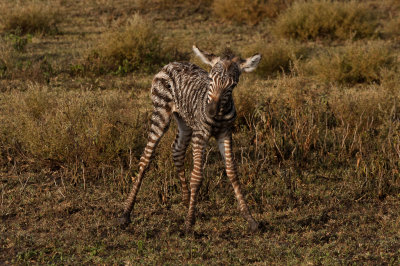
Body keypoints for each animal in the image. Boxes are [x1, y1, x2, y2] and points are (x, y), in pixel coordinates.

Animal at [119, 45, 262, 233]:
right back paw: (125, 214)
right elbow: (197, 176)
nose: (210, 111)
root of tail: (172, 63)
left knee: (177, 150)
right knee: (145, 158)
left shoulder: (225, 133)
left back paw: (187, 201)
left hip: (184, 120)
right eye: (211, 79)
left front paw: (250, 219)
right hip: (161, 114)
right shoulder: (200, 134)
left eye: (232, 85)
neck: (219, 114)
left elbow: (232, 171)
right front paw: (188, 223)